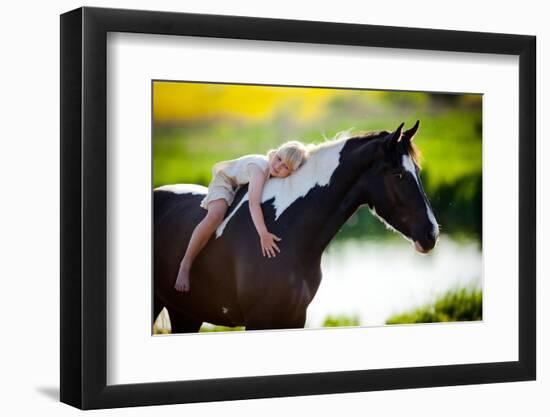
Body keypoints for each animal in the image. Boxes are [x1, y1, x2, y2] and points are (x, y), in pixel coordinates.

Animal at [152, 119, 440, 332]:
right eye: (398, 174)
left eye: (417, 171)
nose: (431, 234)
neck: (287, 230)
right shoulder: (259, 321)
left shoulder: (294, 318)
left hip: (186, 314)